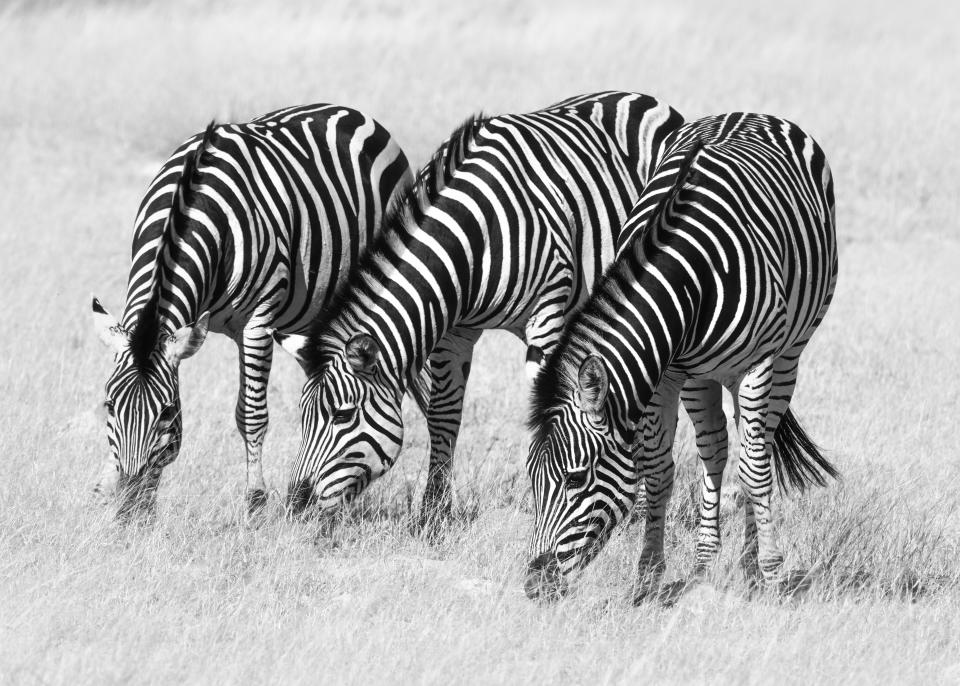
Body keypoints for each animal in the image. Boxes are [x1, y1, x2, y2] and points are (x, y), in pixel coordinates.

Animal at [91, 105, 416, 520]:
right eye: (109, 405)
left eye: (165, 413)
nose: (128, 509)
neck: (190, 204)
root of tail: (348, 110)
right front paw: (111, 493)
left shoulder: (257, 323)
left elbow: (251, 416)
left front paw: (256, 504)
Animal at [274, 91, 688, 528]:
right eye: (302, 417)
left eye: (341, 415)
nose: (295, 506)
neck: (474, 235)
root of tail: (643, 97)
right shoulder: (453, 329)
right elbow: (443, 414)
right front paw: (434, 510)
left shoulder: (546, 317)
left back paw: (641, 507)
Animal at [524, 113, 840, 600]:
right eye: (532, 479)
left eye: (575, 478)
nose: (533, 584)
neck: (687, 278)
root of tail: (751, 112)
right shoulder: (663, 374)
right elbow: (657, 470)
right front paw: (649, 575)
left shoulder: (756, 366)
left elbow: (755, 471)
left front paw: (770, 571)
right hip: (699, 377)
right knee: (716, 449)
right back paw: (705, 562)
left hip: (788, 355)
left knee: (759, 447)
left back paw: (751, 564)